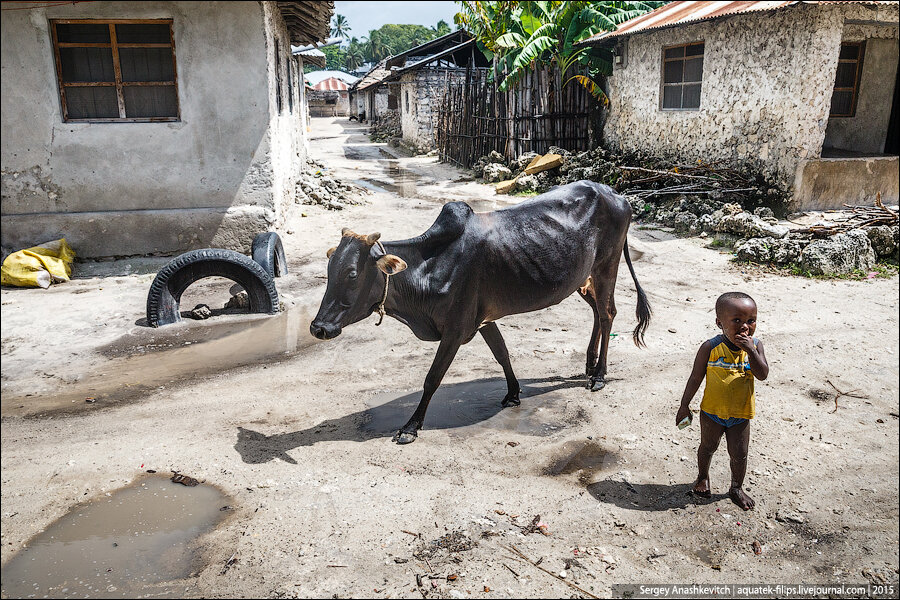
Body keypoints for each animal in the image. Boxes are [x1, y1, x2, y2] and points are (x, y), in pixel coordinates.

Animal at [312, 180, 652, 442]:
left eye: (352, 274)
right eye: (329, 271)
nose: (318, 328)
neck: (429, 269)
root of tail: (616, 195)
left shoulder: (455, 330)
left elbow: (432, 378)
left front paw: (411, 426)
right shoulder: (483, 319)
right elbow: (502, 353)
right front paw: (513, 393)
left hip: (606, 267)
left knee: (607, 314)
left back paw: (600, 375)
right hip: (582, 278)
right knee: (598, 311)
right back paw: (589, 363)